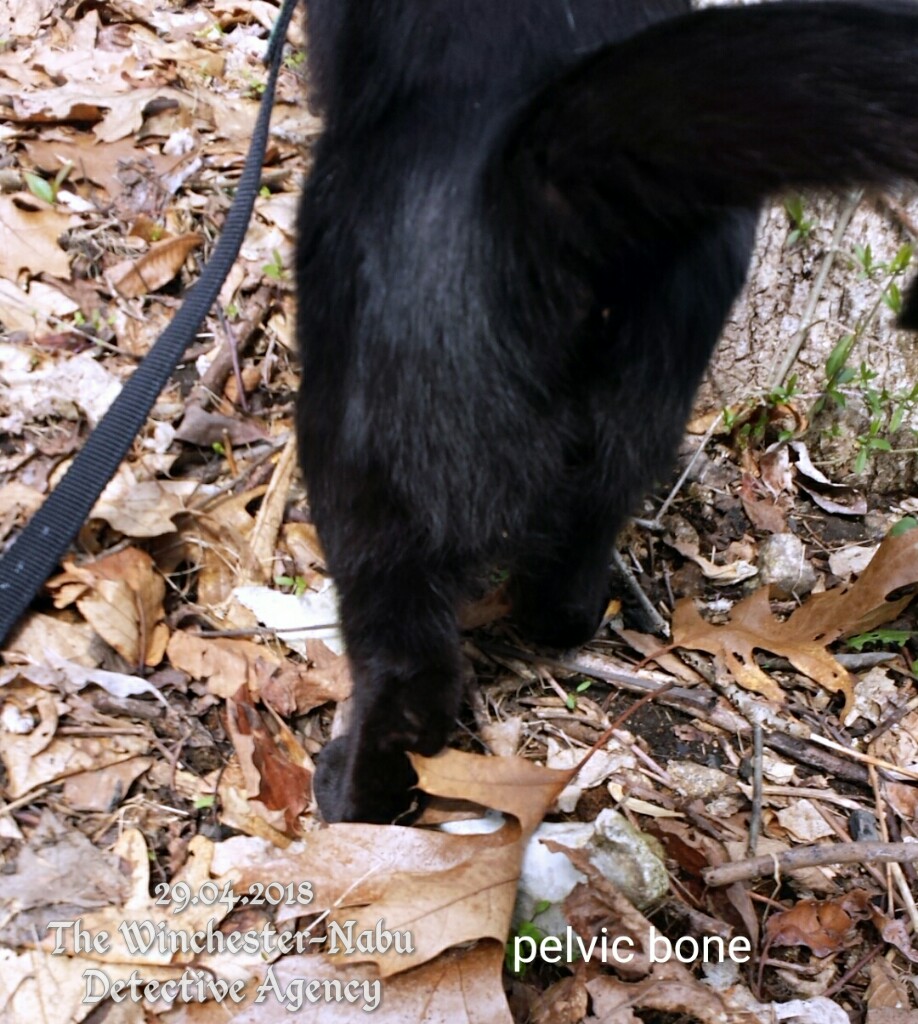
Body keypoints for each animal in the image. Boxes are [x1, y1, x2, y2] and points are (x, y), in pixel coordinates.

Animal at [294, 0, 918, 822]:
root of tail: (543, 187)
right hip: (644, 402)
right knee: (578, 543)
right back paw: (567, 617)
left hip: (365, 465)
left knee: (409, 670)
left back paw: (351, 792)